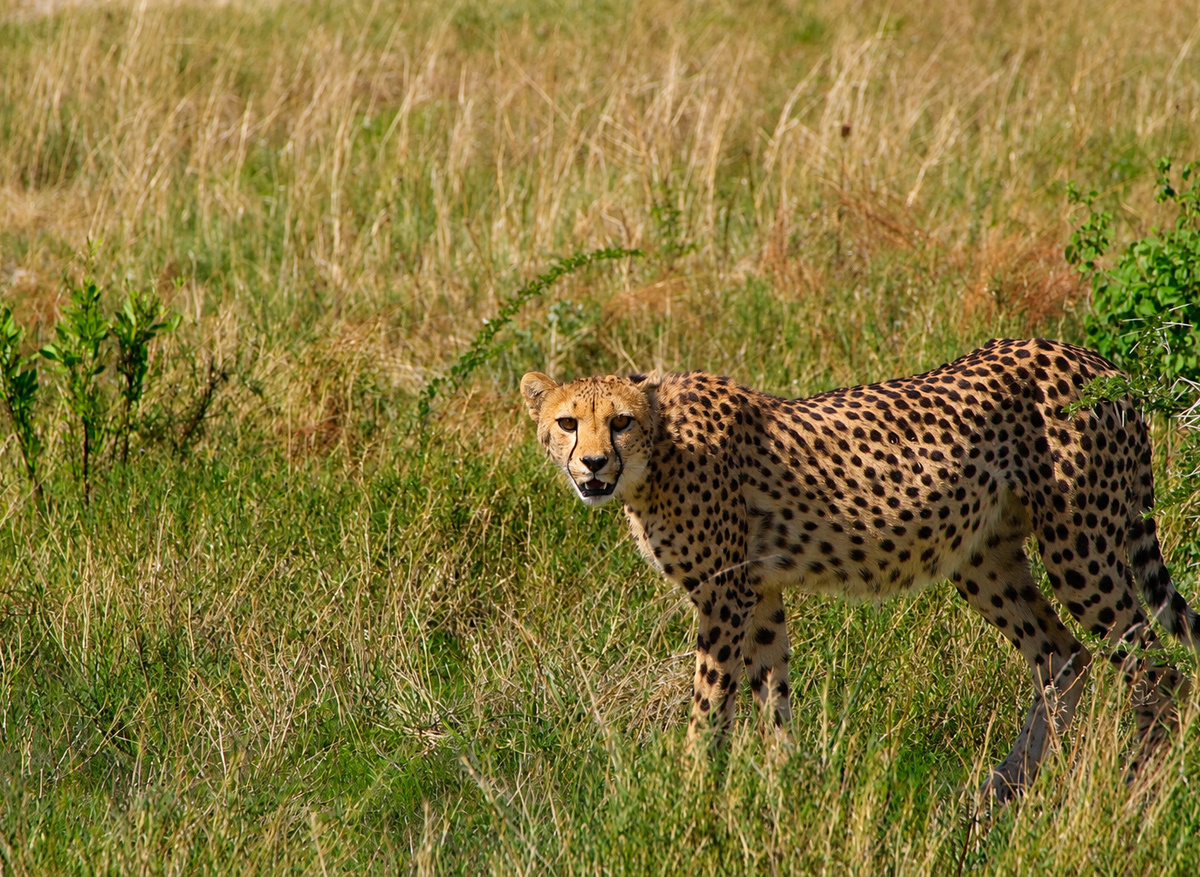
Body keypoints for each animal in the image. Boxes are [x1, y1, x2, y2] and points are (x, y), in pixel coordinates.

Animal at [520, 338, 1200, 803]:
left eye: (620, 421)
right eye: (567, 422)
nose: (593, 464)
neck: (658, 454)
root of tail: (1093, 357)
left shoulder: (724, 592)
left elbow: (710, 703)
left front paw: (690, 795)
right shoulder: (760, 593)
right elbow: (773, 696)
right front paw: (785, 791)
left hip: (1080, 547)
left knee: (1158, 669)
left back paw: (1136, 793)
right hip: (983, 557)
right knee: (1063, 657)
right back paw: (994, 797)